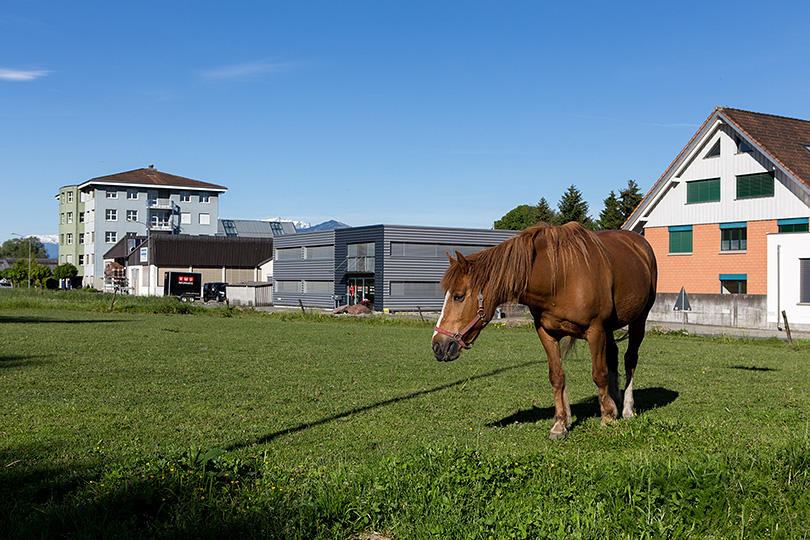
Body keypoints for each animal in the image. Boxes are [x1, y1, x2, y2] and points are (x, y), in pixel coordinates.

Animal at [430, 221, 656, 440]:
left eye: (458, 296)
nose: (438, 345)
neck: (561, 278)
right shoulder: (547, 334)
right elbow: (557, 377)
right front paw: (560, 424)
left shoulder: (596, 331)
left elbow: (599, 374)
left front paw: (607, 418)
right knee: (613, 357)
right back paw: (615, 401)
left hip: (639, 321)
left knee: (630, 359)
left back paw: (626, 409)